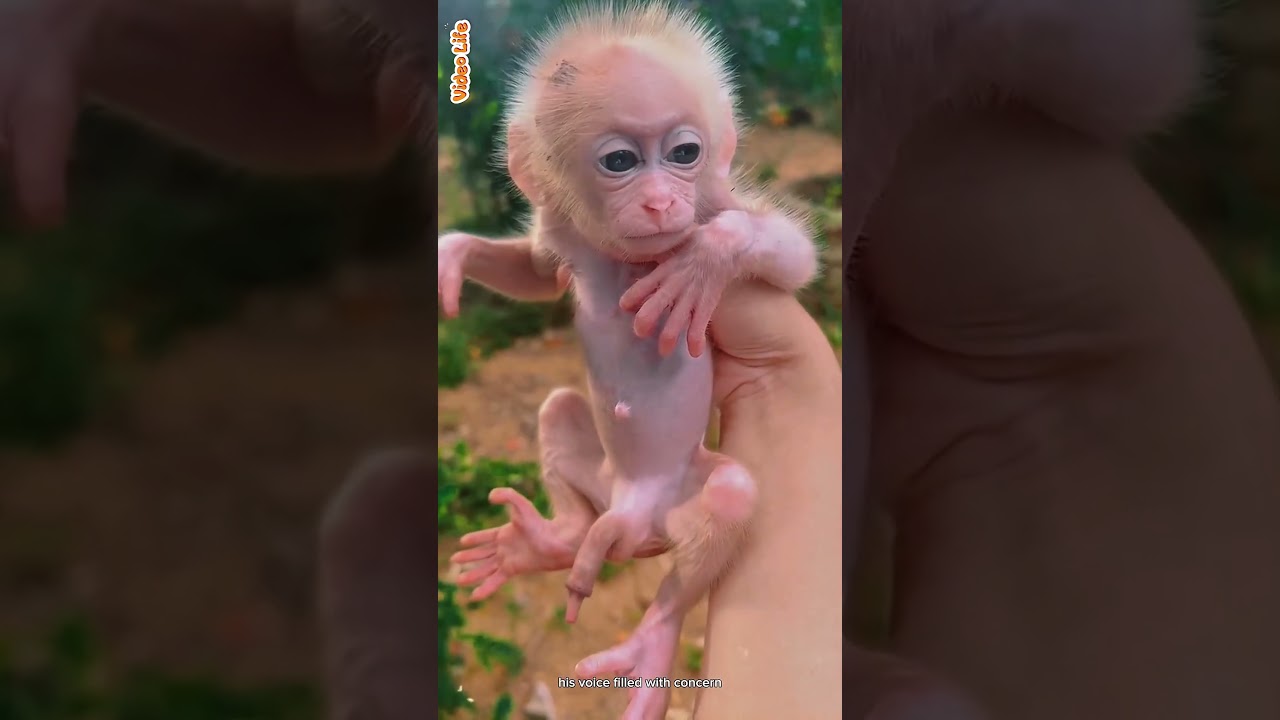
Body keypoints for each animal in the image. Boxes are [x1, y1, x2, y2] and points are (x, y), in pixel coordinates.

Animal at [438, 3, 820, 717]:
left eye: (684, 154)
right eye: (619, 160)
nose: (661, 202)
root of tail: (635, 512)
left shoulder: (716, 204)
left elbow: (790, 257)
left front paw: (705, 258)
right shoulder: (565, 232)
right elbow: (538, 271)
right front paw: (457, 252)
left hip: (680, 506)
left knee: (729, 496)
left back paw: (654, 643)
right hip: (600, 480)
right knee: (560, 411)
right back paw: (551, 540)